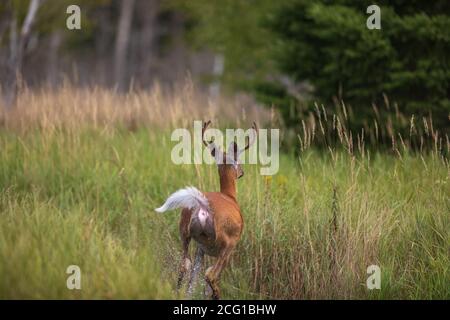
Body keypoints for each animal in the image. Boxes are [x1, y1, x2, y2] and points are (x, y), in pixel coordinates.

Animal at [155, 120, 256, 300]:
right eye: (238, 162)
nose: (242, 172)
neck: (230, 196)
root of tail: (202, 205)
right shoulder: (229, 246)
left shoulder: (200, 249)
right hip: (226, 243)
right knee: (210, 275)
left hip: (185, 233)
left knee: (185, 266)